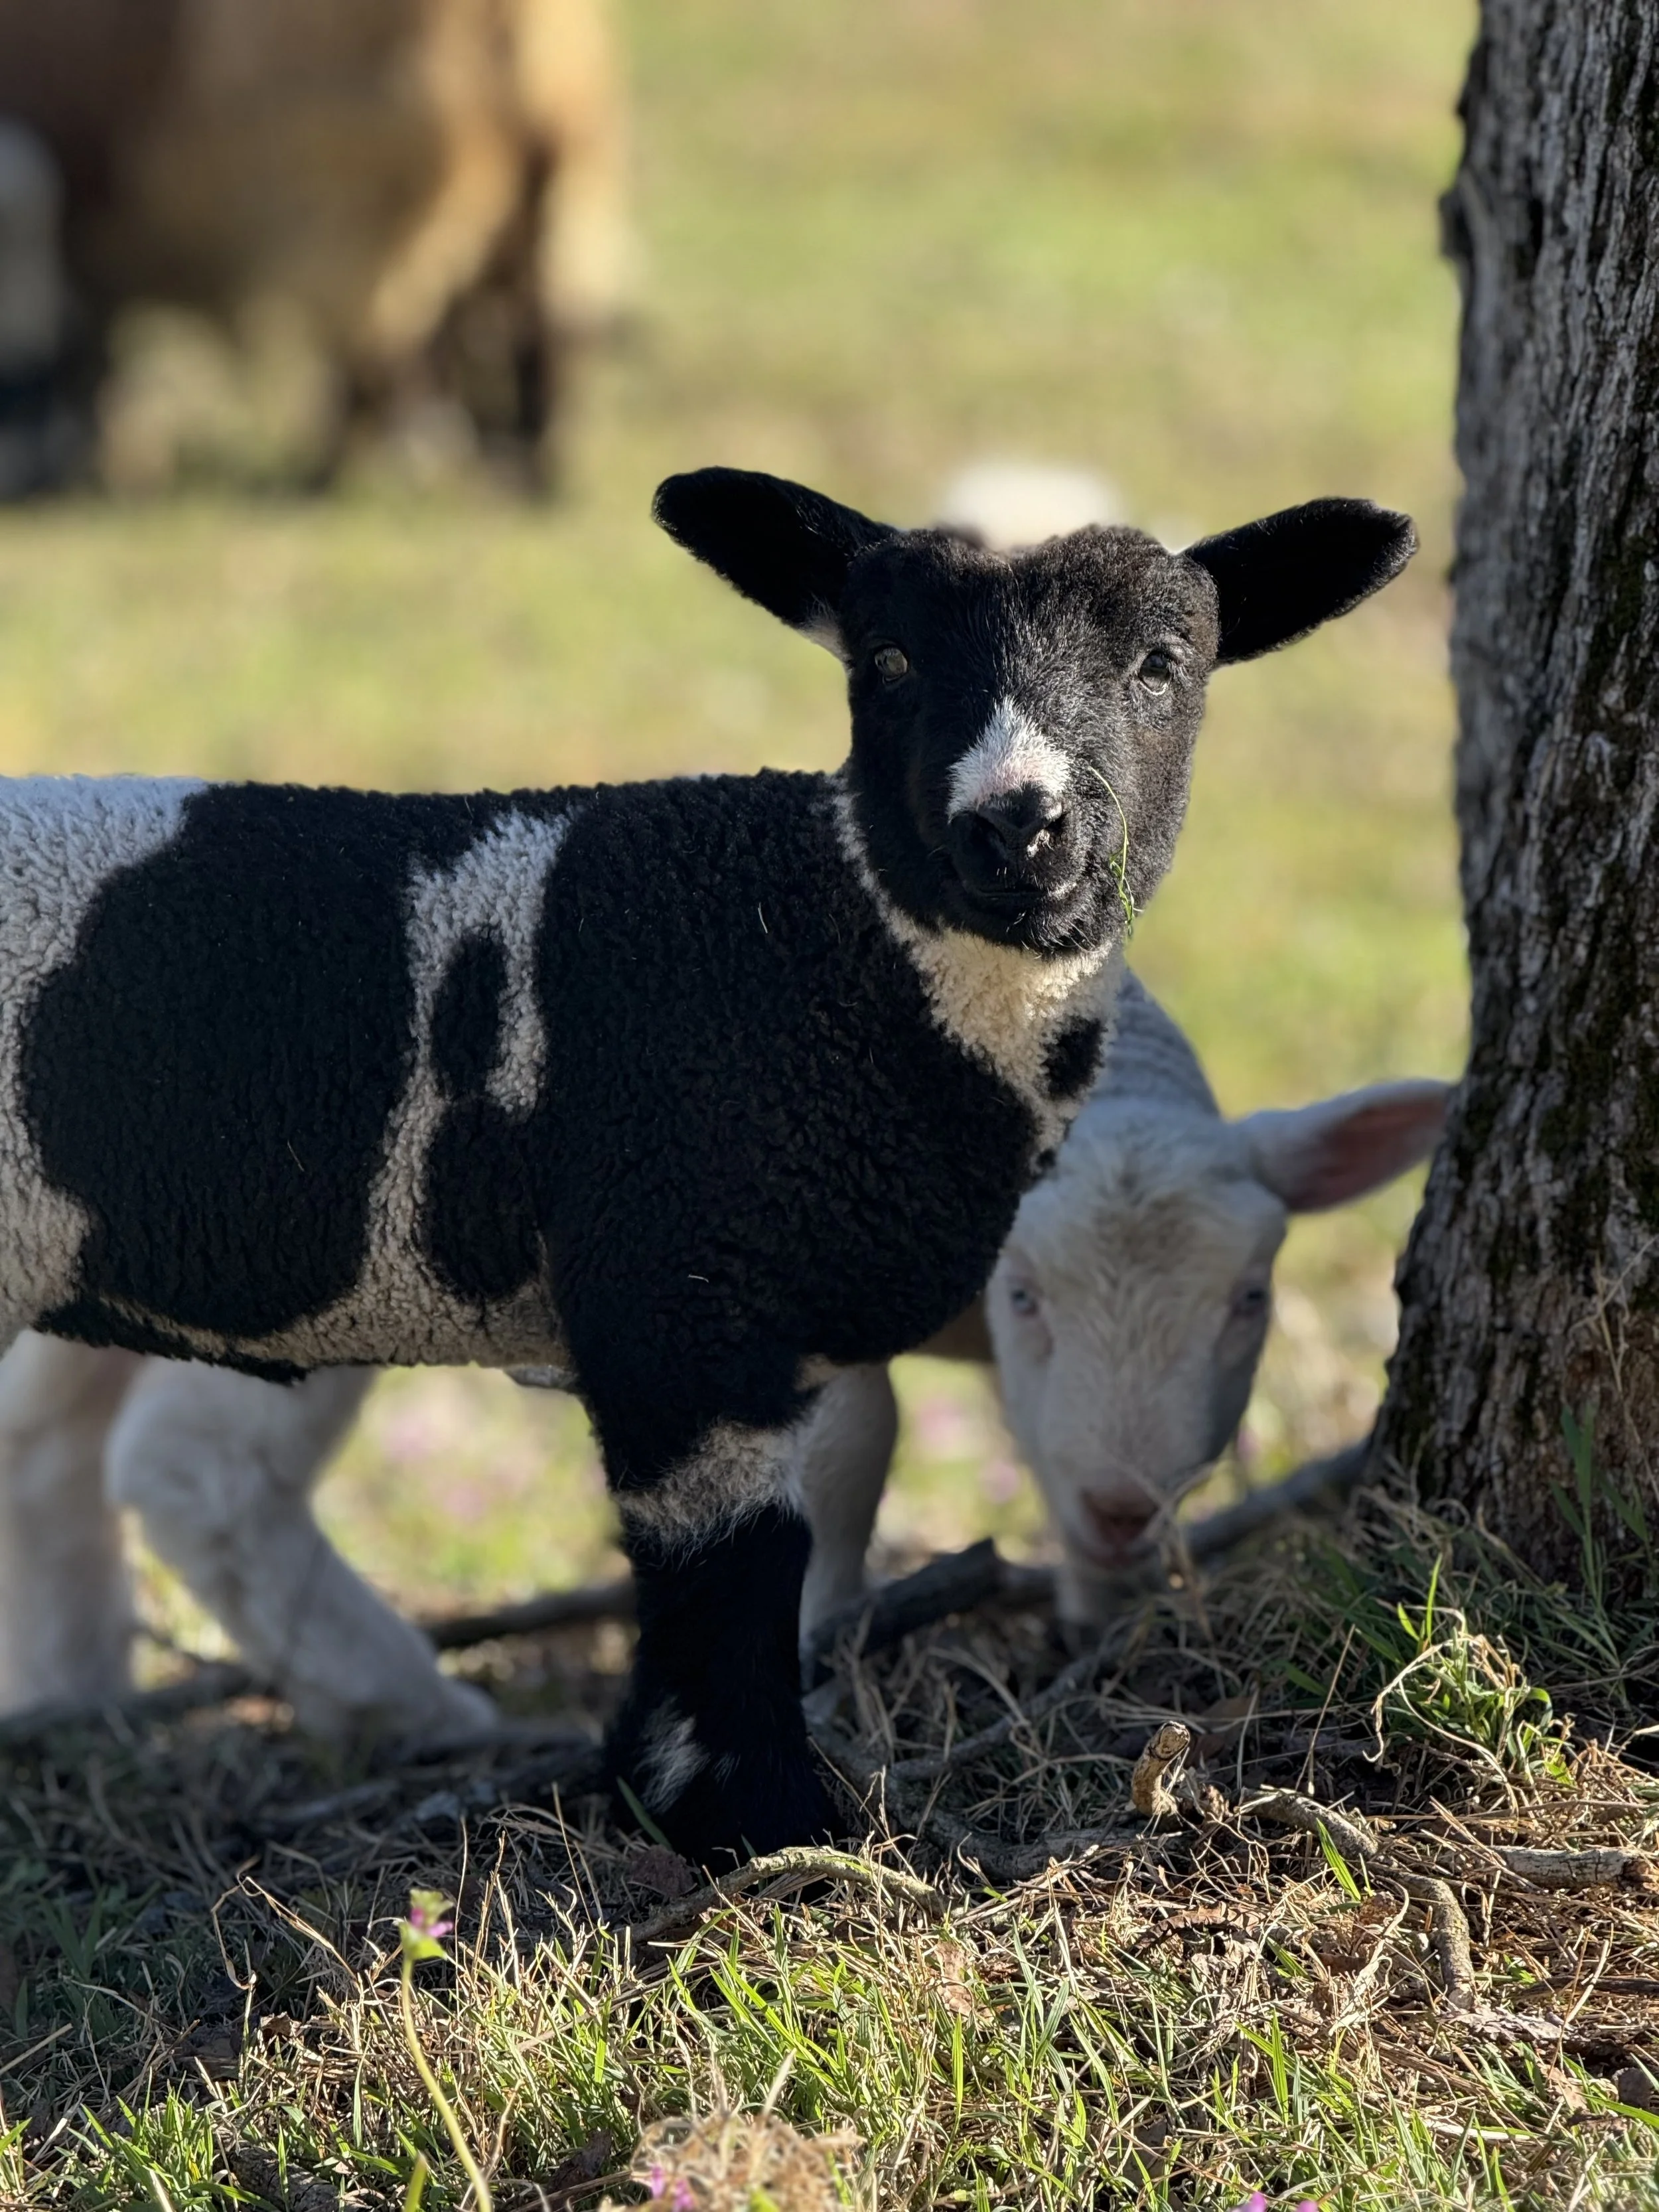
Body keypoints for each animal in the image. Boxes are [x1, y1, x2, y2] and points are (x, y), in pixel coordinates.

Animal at [0, 467, 1415, 1856]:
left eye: (1162, 664)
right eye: (887, 657)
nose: (1018, 825)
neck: (826, 943)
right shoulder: (683, 1297)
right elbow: (735, 1566)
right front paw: (762, 1825)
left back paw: (84, 1696)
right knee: (194, 1469)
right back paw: (408, 1709)